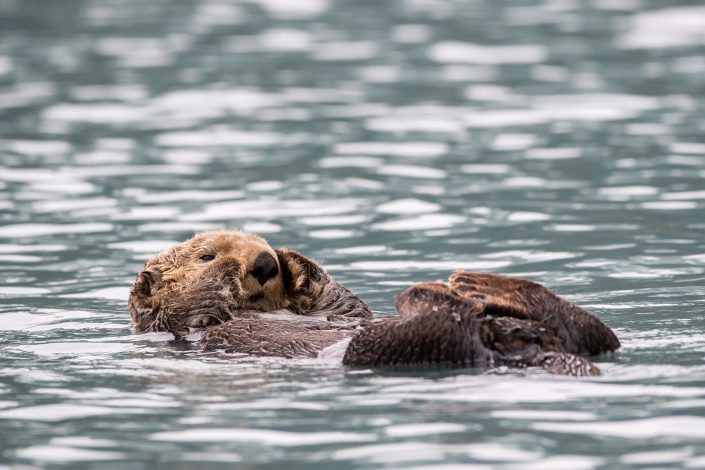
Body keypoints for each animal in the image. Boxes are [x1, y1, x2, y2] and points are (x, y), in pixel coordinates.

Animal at [129, 229, 620, 376]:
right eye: (205, 255)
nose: (265, 261)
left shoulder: (336, 307)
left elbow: (342, 302)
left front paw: (292, 260)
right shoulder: (173, 322)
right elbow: (190, 304)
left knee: (593, 330)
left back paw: (479, 286)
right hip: (398, 345)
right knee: (447, 321)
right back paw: (439, 292)